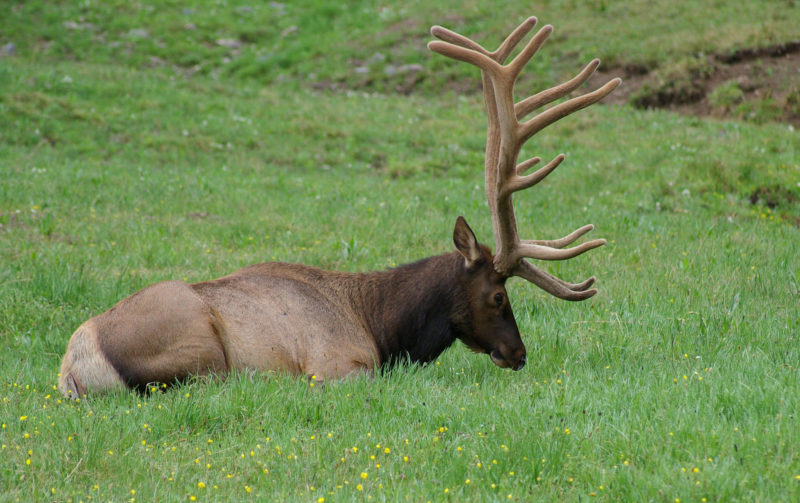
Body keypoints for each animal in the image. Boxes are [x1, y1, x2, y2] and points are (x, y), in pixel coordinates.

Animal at [57, 17, 620, 400]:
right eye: (498, 296)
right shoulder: (339, 363)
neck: (384, 329)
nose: (519, 354)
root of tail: (75, 367)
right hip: (202, 348)